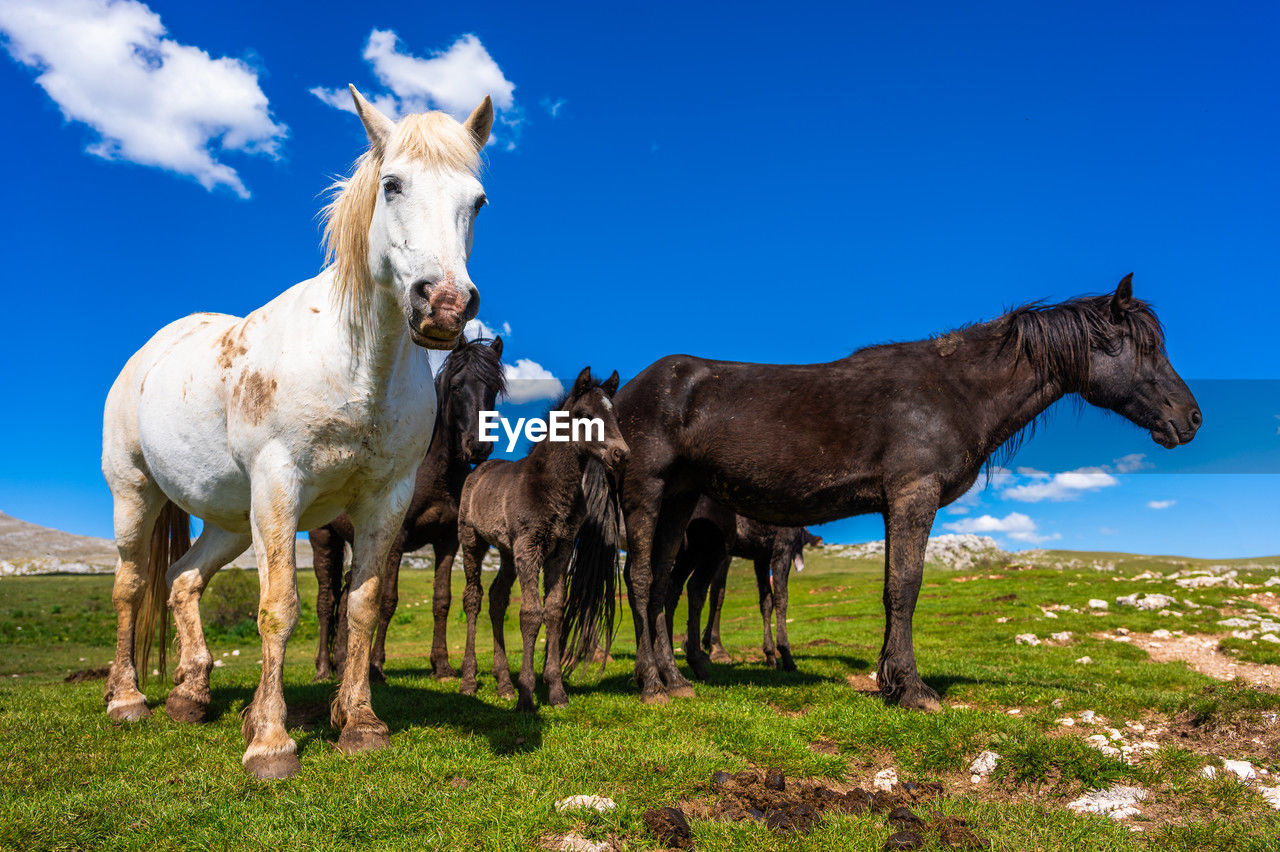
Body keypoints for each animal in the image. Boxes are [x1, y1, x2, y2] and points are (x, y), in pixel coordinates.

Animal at [310, 336, 506, 683]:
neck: (433, 473)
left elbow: (442, 600)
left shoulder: (447, 542)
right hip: (324, 539)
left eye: (493, 388)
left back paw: (343, 662)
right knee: (326, 601)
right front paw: (375, 666)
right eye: (456, 386)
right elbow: (387, 600)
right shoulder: (397, 541)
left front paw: (442, 665)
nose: (478, 446)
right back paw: (323, 668)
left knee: (346, 596)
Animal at [457, 369, 628, 711]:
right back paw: (469, 681)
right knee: (473, 599)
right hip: (472, 541)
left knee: (497, 598)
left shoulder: (560, 550)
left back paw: (503, 684)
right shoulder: (529, 548)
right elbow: (530, 614)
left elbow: (553, 612)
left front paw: (556, 692)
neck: (552, 487)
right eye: (585, 416)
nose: (622, 454)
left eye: (614, 415)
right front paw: (527, 695)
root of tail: (479, 469)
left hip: (507, 552)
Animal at [664, 496, 815, 679]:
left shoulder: (761, 556)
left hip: (685, 549)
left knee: (673, 586)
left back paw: (670, 651)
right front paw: (786, 656)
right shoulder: (783, 546)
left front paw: (770, 655)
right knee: (695, 587)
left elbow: (766, 602)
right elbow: (781, 598)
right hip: (710, 548)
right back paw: (697, 662)